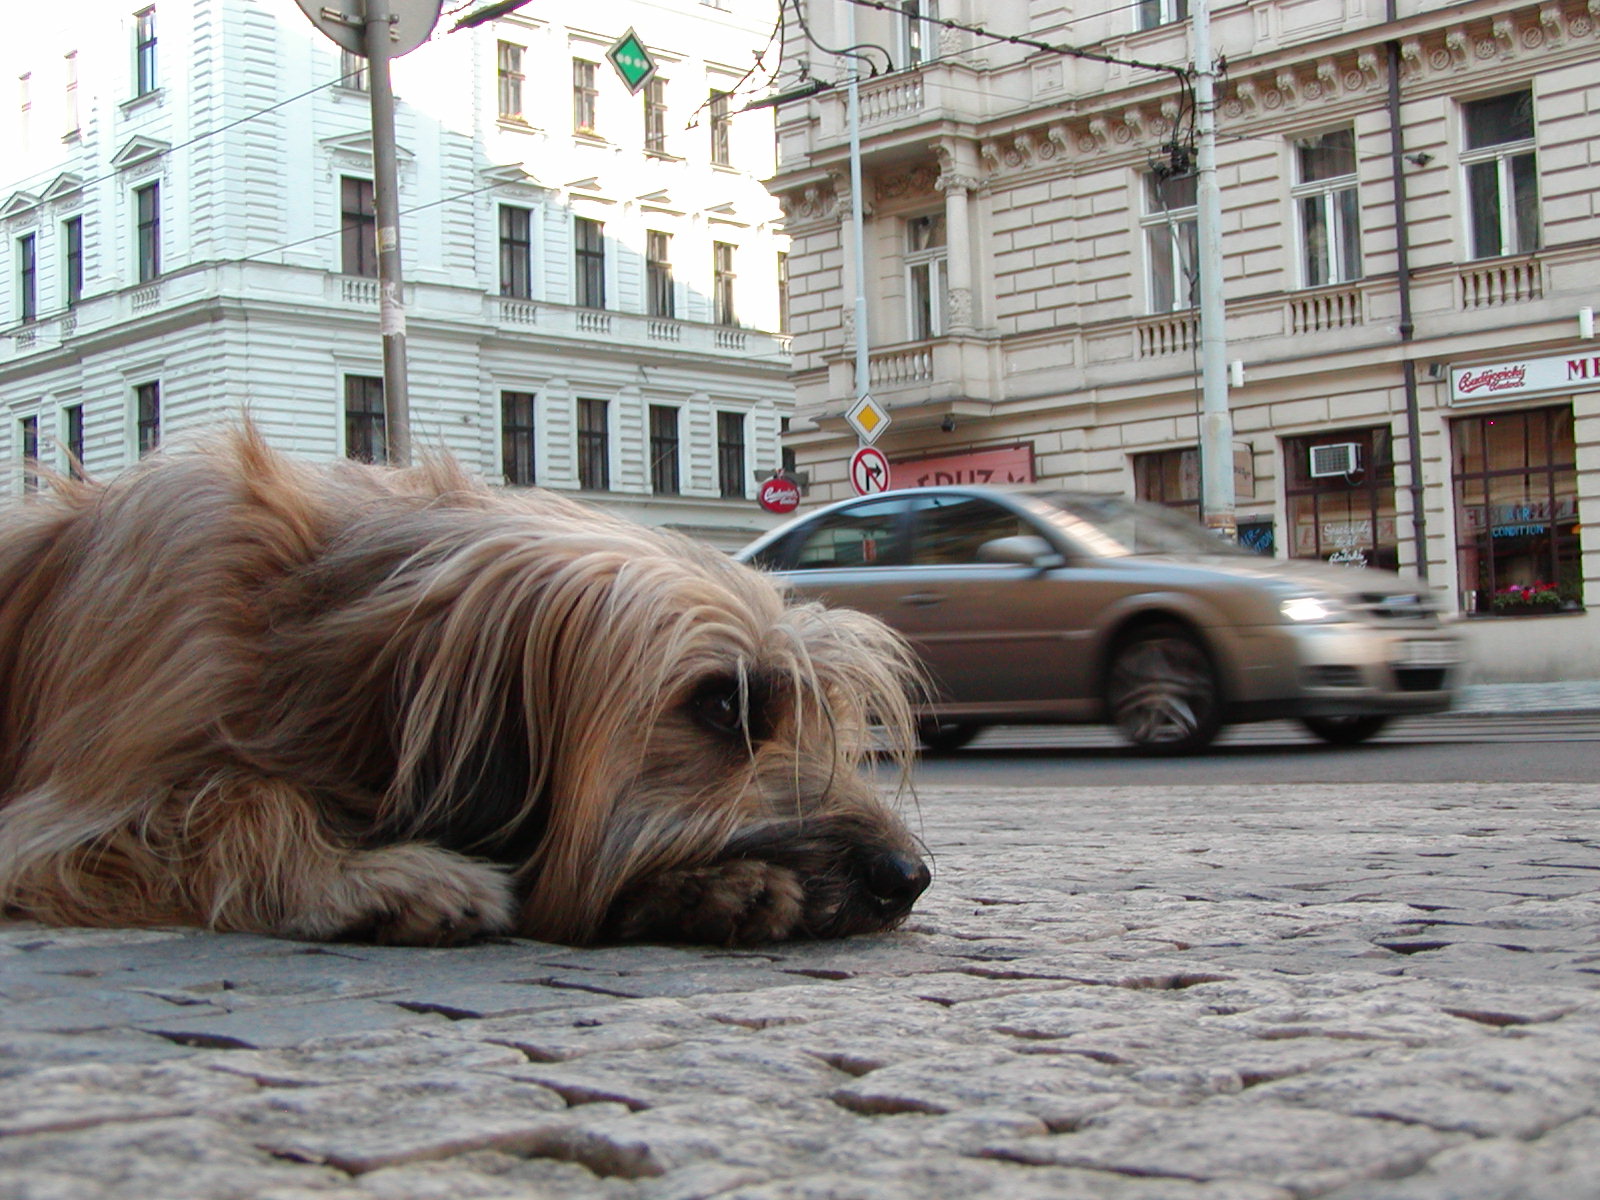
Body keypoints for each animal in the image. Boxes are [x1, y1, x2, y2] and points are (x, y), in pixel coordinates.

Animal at [0, 432, 928, 947]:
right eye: (723, 704)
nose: (907, 876)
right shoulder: (69, 819)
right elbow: (235, 801)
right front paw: (379, 877)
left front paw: (711, 890)